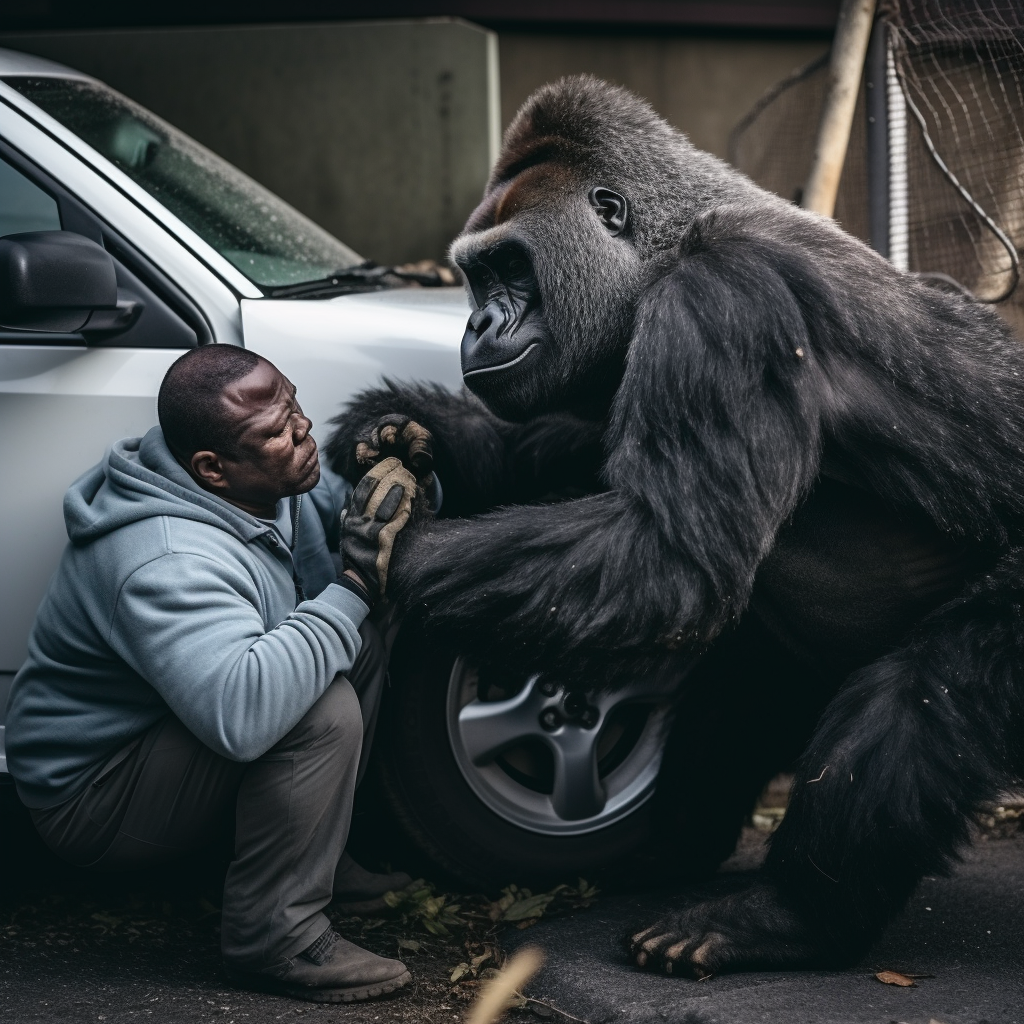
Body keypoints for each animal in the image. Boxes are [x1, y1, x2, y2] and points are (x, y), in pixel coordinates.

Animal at [327, 77, 1024, 974]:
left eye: (510, 267)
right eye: (476, 277)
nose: (476, 326)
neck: (666, 245)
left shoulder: (724, 297)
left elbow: (663, 554)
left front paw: (397, 547)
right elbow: (564, 452)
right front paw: (402, 427)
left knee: (922, 695)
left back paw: (786, 916)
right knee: (743, 689)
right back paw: (675, 855)